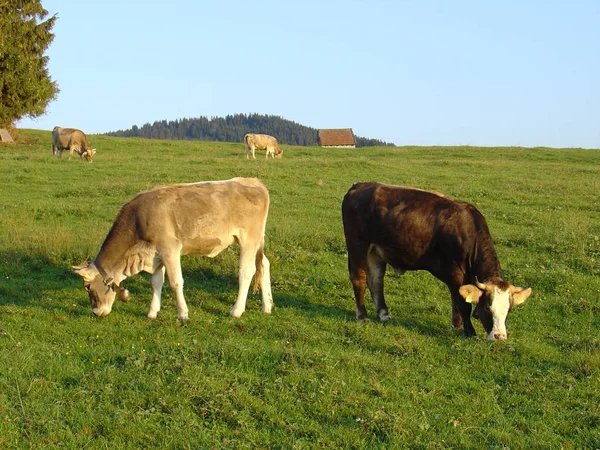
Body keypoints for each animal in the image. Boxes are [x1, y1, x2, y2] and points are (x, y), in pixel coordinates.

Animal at [72, 177, 274, 320]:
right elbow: (156, 282)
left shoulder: (170, 249)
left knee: (247, 271)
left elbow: (176, 282)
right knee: (264, 264)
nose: (96, 312)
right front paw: (152, 312)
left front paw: (183, 313)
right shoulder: (154, 254)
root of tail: (254, 181)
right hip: (257, 241)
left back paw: (237, 310)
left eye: (88, 287)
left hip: (249, 239)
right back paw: (267, 306)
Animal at [340, 181, 532, 340]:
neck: (468, 233)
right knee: (359, 278)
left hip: (377, 251)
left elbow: (456, 299)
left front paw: (457, 325)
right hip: (357, 245)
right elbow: (462, 303)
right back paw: (363, 316)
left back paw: (383, 314)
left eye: (509, 310)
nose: (499, 336)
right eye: (487, 308)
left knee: (376, 281)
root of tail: (360, 186)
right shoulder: (455, 272)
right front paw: (469, 331)